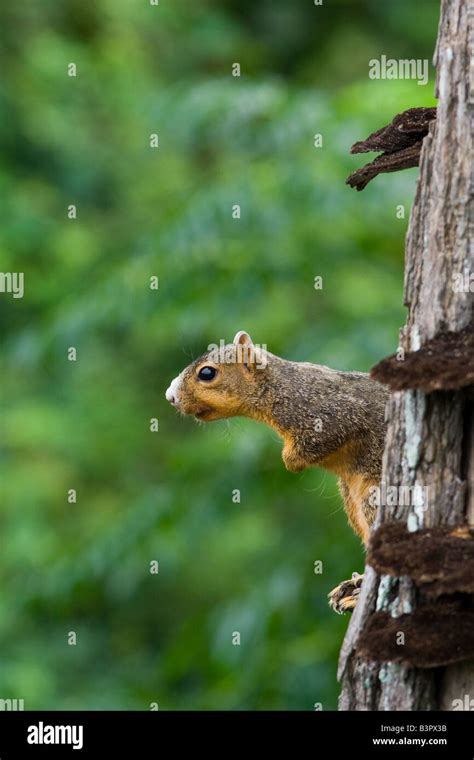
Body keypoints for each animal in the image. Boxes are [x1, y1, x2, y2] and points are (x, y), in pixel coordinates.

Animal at [167, 332, 388, 612]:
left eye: (207, 373)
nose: (170, 395)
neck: (279, 387)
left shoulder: (331, 414)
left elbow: (324, 438)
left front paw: (290, 461)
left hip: (374, 495)